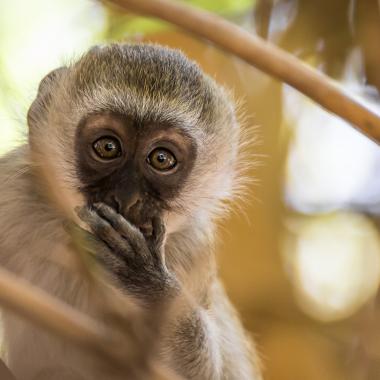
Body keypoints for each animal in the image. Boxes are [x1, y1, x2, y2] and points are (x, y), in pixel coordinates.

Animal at [0, 43, 262, 380]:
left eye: (162, 159)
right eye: (108, 147)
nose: (126, 199)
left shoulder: (192, 248)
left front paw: (148, 284)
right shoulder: (11, 191)